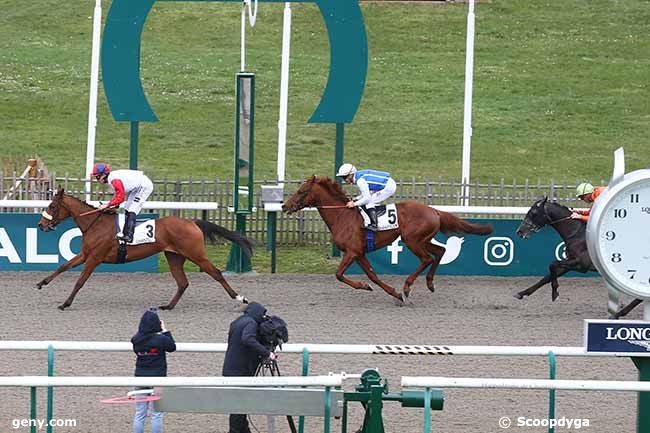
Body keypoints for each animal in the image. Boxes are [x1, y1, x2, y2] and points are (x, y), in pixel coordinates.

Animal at [36, 187, 252, 308]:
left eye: (52, 206)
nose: (41, 225)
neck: (95, 224)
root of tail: (192, 222)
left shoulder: (95, 258)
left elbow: (80, 281)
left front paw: (65, 303)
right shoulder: (85, 254)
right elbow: (63, 266)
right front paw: (41, 283)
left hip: (196, 254)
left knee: (216, 273)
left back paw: (240, 298)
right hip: (174, 256)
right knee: (182, 282)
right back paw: (167, 306)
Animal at [284, 176, 492, 300]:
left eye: (301, 191)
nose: (285, 206)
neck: (342, 215)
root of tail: (435, 211)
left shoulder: (352, 252)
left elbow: (339, 274)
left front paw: (392, 291)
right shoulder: (359, 253)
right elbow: (373, 275)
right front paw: (386, 291)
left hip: (412, 240)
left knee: (427, 259)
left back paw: (408, 286)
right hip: (424, 240)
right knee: (440, 251)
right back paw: (430, 283)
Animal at [512, 197, 640, 316]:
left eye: (533, 212)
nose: (519, 231)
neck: (577, 234)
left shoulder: (580, 265)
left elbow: (552, 264)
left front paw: (555, 293)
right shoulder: (570, 262)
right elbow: (548, 276)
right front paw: (522, 293)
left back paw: (619, 314)